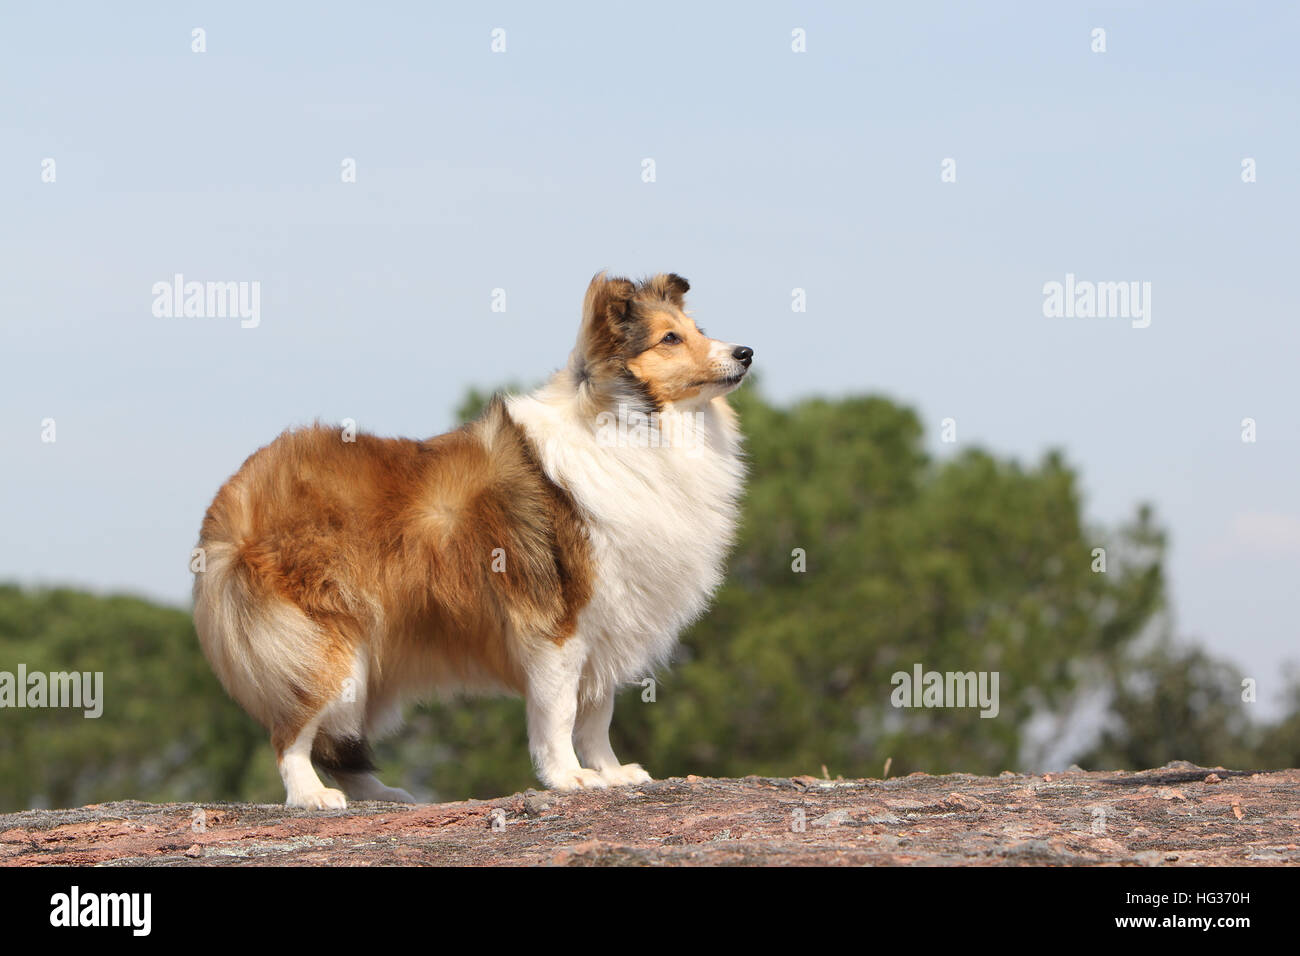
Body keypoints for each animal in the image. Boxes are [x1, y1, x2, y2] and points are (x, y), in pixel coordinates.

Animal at [191, 270, 754, 806]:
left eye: (698, 330)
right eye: (669, 338)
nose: (745, 353)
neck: (630, 423)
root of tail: (234, 501)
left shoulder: (608, 622)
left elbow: (597, 715)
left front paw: (612, 774)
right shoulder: (557, 625)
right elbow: (561, 712)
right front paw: (569, 777)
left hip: (371, 662)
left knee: (340, 742)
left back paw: (384, 795)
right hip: (323, 645)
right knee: (292, 733)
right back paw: (312, 796)